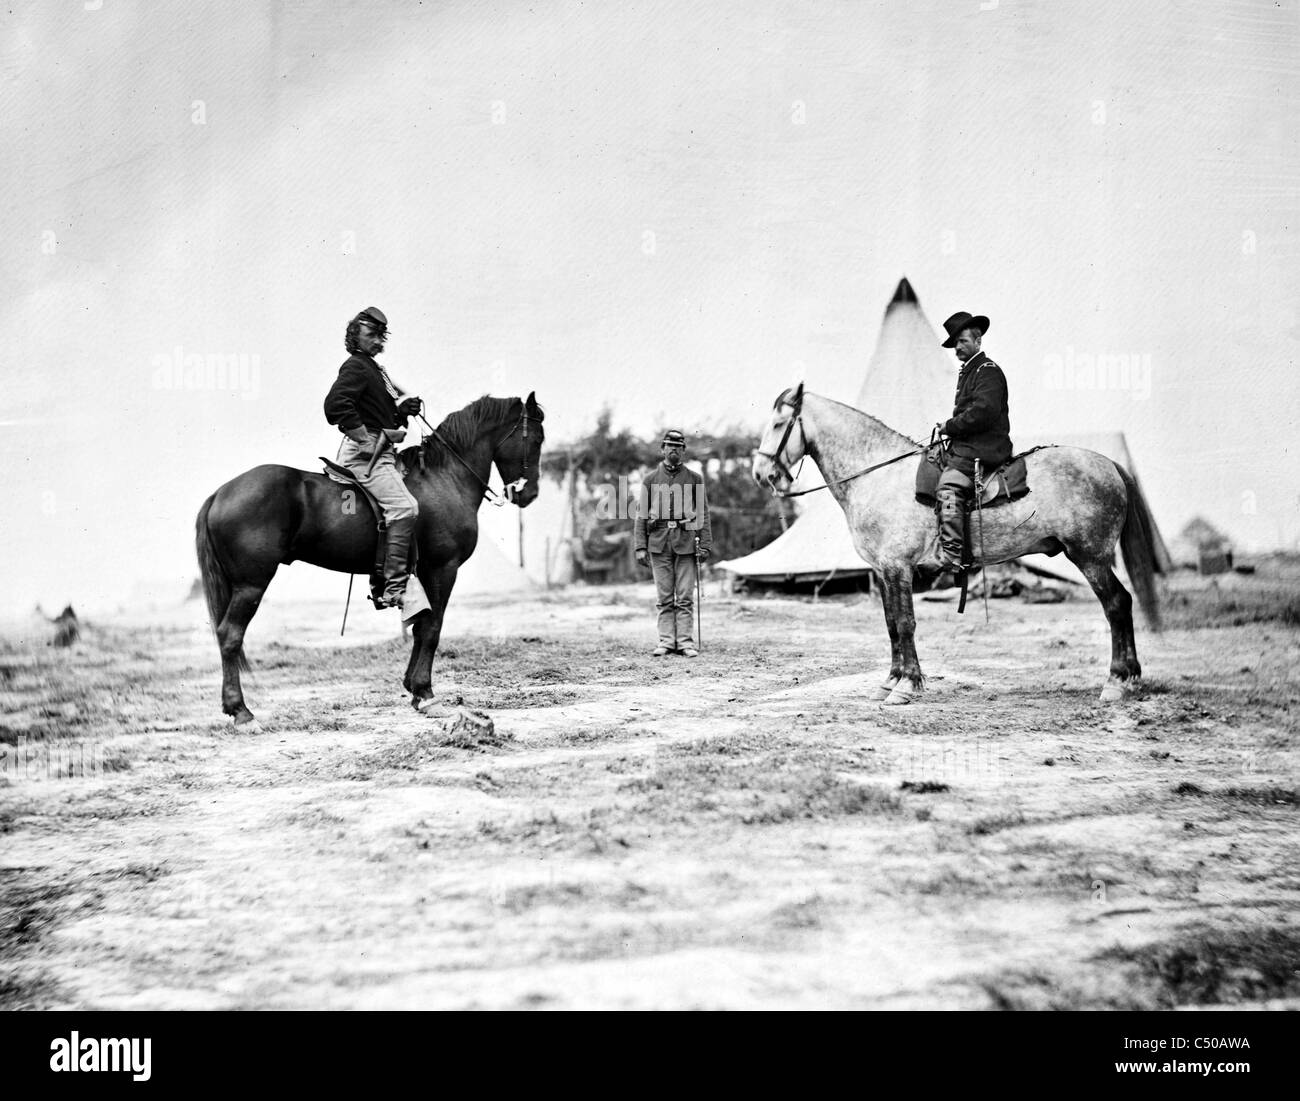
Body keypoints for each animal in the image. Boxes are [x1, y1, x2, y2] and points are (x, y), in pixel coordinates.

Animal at [195, 393, 544, 728]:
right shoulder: (441, 570)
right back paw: (241, 712)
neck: (443, 477)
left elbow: (420, 628)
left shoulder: (422, 574)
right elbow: (432, 628)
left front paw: (414, 689)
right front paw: (426, 693)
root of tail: (219, 494)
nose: (529, 494)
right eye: (536, 438)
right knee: (230, 636)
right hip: (251, 585)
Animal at [752, 384, 1163, 705]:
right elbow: (891, 624)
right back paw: (1130, 678)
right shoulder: (883, 572)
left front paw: (907, 685)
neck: (878, 475)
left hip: (1090, 557)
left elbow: (905, 622)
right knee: (1122, 603)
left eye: (778, 424)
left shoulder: (898, 567)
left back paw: (1116, 681)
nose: (761, 474)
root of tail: (1108, 464)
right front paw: (891, 680)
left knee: (1116, 604)